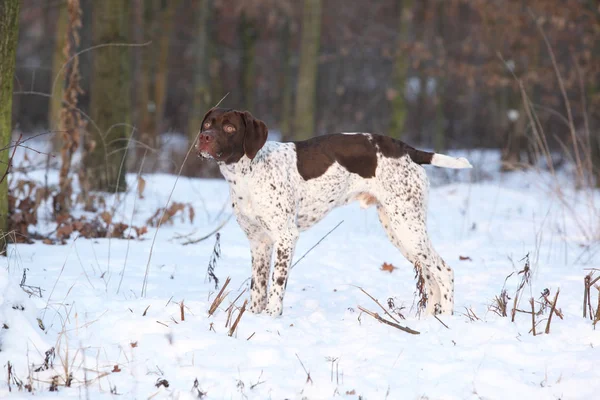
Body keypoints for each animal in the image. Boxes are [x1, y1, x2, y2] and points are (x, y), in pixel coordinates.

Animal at [195, 108, 472, 318]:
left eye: (229, 128)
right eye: (207, 124)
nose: (204, 138)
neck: (247, 173)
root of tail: (407, 150)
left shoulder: (286, 237)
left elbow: (276, 287)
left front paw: (272, 318)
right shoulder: (259, 242)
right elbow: (258, 288)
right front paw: (254, 318)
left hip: (408, 228)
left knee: (444, 272)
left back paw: (447, 321)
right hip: (400, 232)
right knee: (431, 277)